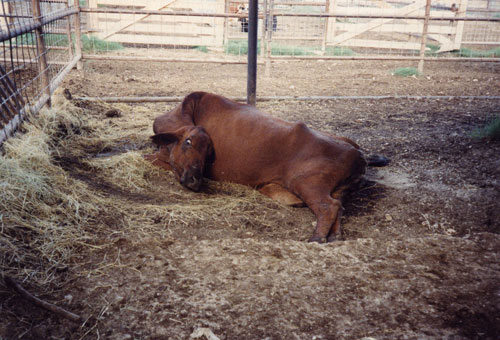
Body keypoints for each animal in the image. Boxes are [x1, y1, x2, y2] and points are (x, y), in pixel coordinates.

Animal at [146, 91, 388, 243]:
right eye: (188, 142)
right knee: (338, 207)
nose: (196, 180)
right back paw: (334, 236)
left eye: (208, 151)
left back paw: (316, 239)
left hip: (307, 183)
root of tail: (356, 153)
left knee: (328, 207)